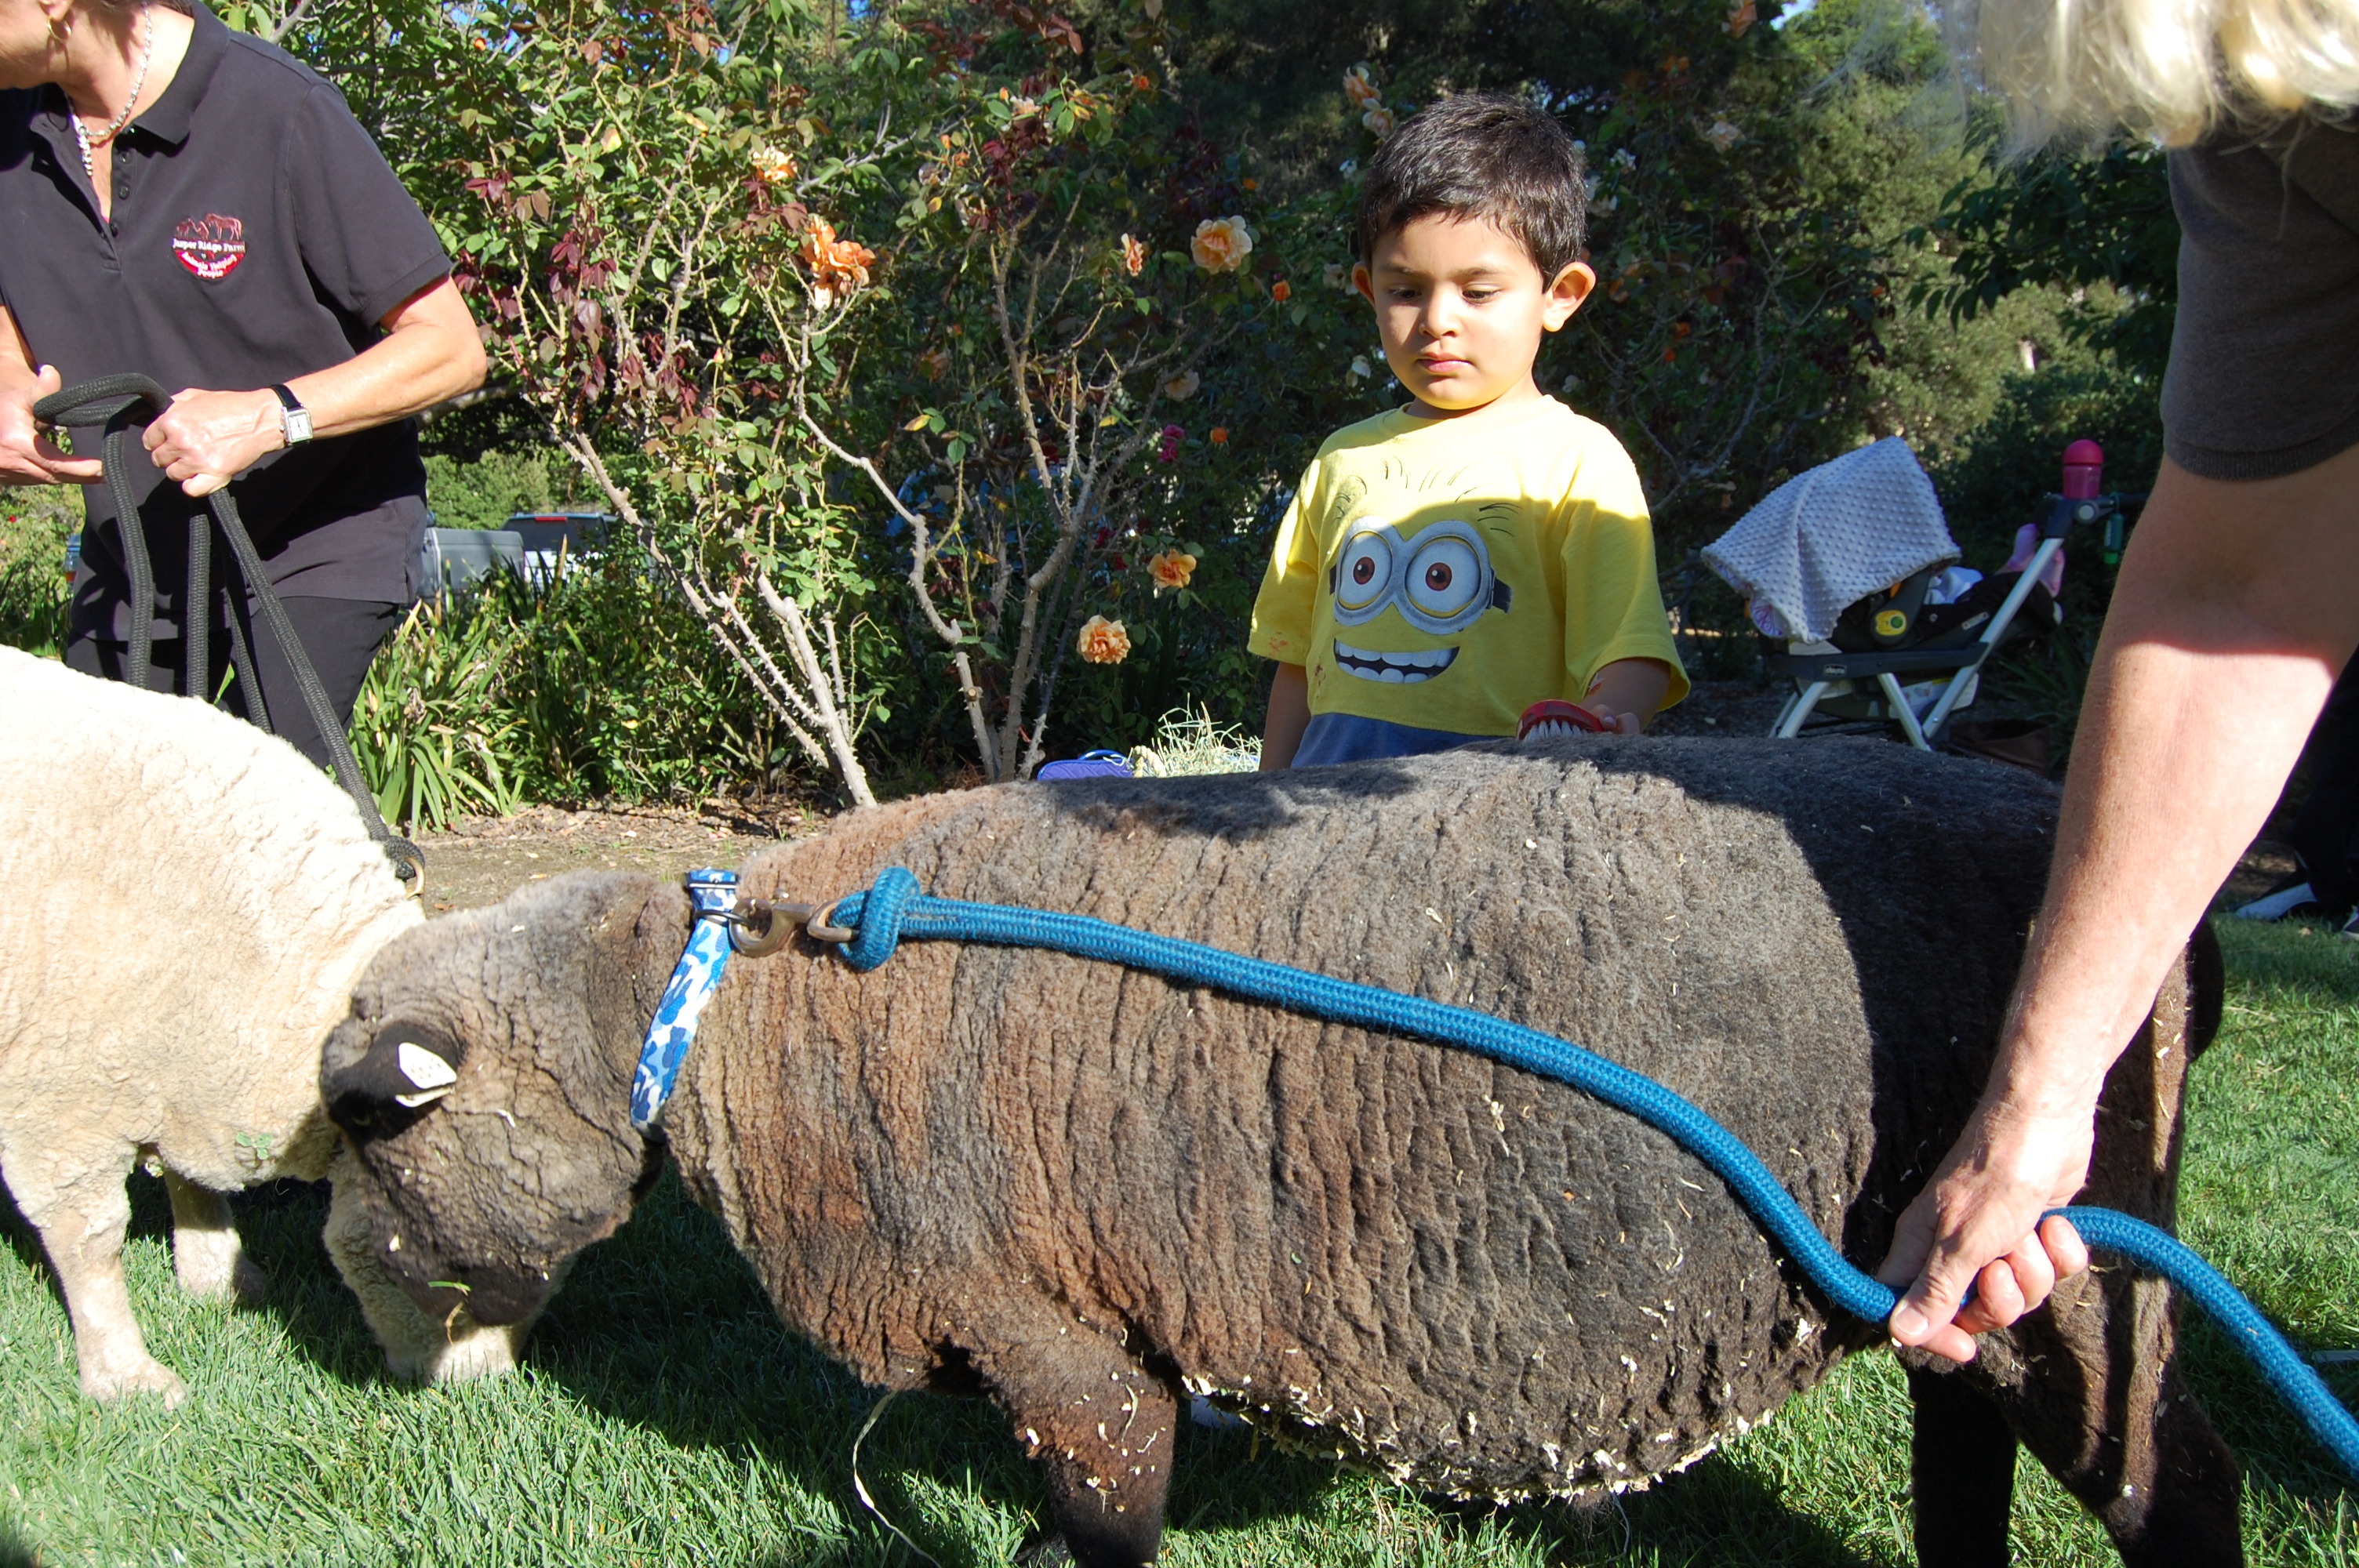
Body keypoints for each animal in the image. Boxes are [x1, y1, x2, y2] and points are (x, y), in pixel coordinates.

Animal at [0, 645, 538, 1404]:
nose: (480, 1389)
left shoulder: (189, 1060)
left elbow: (192, 1179)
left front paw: (220, 1281)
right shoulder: (59, 1102)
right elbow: (91, 1237)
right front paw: (124, 1376)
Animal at [319, 736, 2240, 1567]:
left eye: (360, 1135)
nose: (369, 1360)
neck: (718, 1024)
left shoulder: (1051, 1334)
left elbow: (1102, 1525)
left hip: (2074, 1260)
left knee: (2175, 1477)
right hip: (1966, 1283)